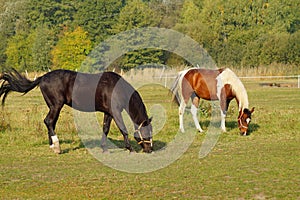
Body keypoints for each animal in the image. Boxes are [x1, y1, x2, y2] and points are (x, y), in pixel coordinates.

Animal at [0, 68, 154, 153]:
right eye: (147, 132)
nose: (150, 149)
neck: (117, 88)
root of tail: (42, 78)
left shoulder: (108, 113)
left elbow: (105, 129)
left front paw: (104, 148)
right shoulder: (116, 112)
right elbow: (123, 130)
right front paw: (130, 148)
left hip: (53, 107)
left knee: (51, 123)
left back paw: (52, 145)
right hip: (56, 105)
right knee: (48, 121)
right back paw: (57, 147)